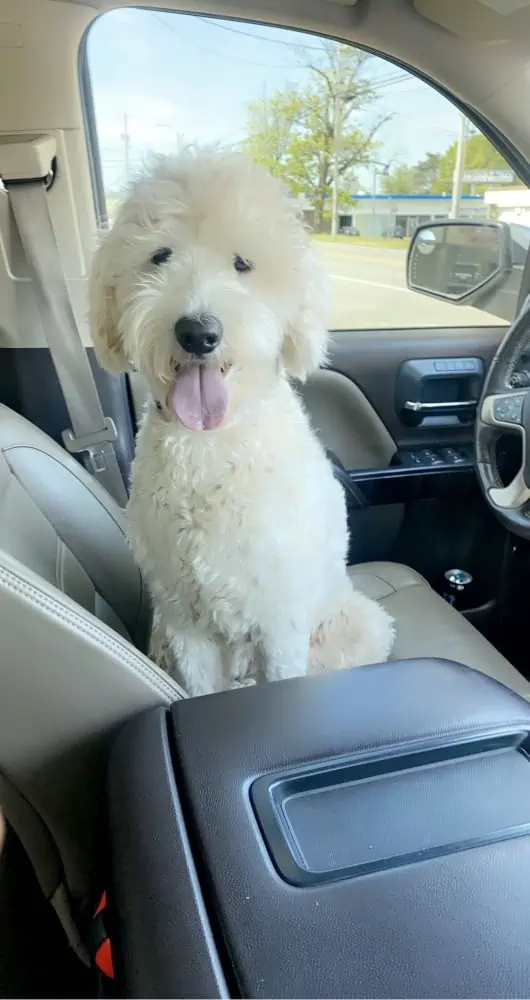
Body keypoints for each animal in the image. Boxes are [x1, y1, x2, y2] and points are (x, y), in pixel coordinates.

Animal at [89, 148, 392, 696]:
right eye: (160, 256)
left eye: (243, 264)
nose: (197, 332)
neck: (208, 442)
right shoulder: (182, 619)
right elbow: (197, 688)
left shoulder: (280, 619)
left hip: (357, 625)